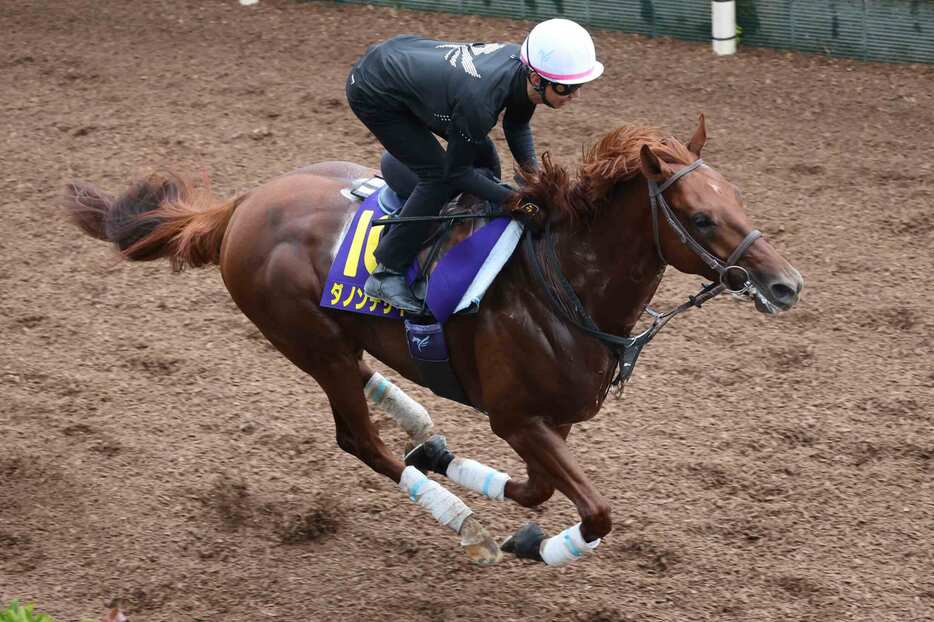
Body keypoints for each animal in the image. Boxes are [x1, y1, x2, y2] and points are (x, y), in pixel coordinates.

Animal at [66, 117, 804, 572]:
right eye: (701, 217)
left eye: (737, 198)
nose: (785, 284)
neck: (565, 284)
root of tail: (242, 205)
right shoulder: (517, 417)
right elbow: (594, 513)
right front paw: (529, 546)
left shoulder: (551, 419)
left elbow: (534, 491)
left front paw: (460, 469)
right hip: (305, 339)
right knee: (359, 438)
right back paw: (462, 523)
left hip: (336, 339)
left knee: (368, 382)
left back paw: (422, 428)